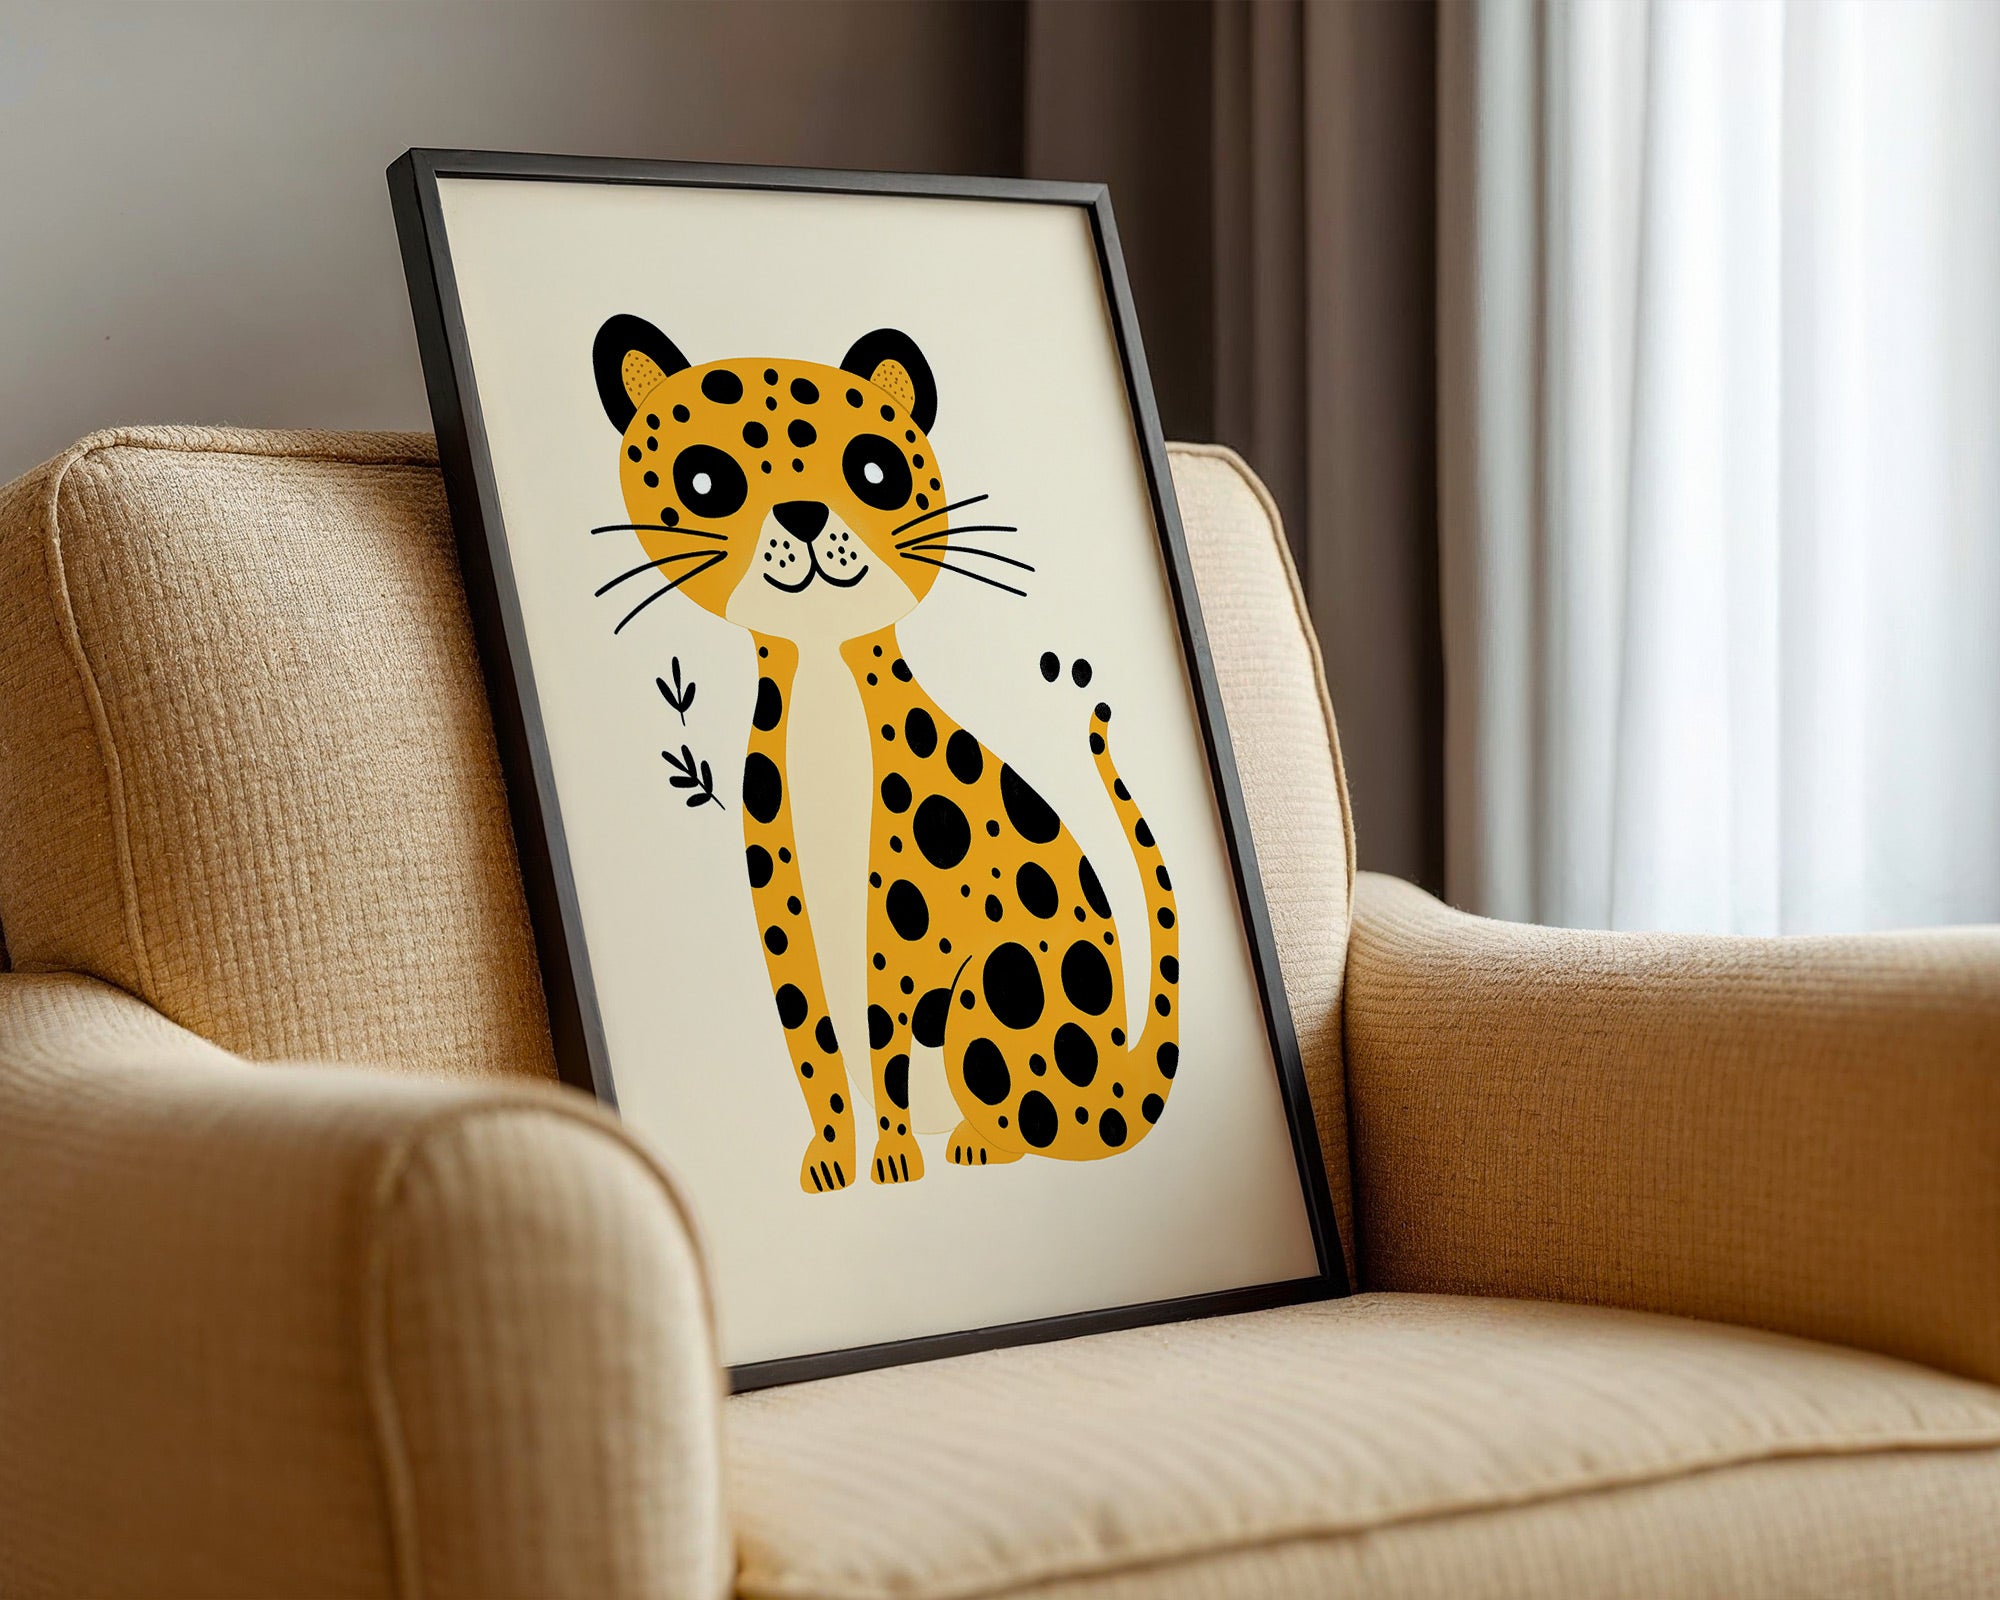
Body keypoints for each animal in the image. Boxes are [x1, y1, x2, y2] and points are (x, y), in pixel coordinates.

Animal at [592, 314, 1179, 1193]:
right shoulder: (786, 927)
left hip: (990, 987)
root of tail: (1115, 1072)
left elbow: (879, 1044)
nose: (803, 515)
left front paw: (893, 1157)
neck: (824, 672)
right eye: (705, 480)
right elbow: (816, 1051)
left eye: (875, 470)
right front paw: (836, 1158)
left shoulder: (902, 936)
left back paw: (978, 1144)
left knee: (1031, 1115)